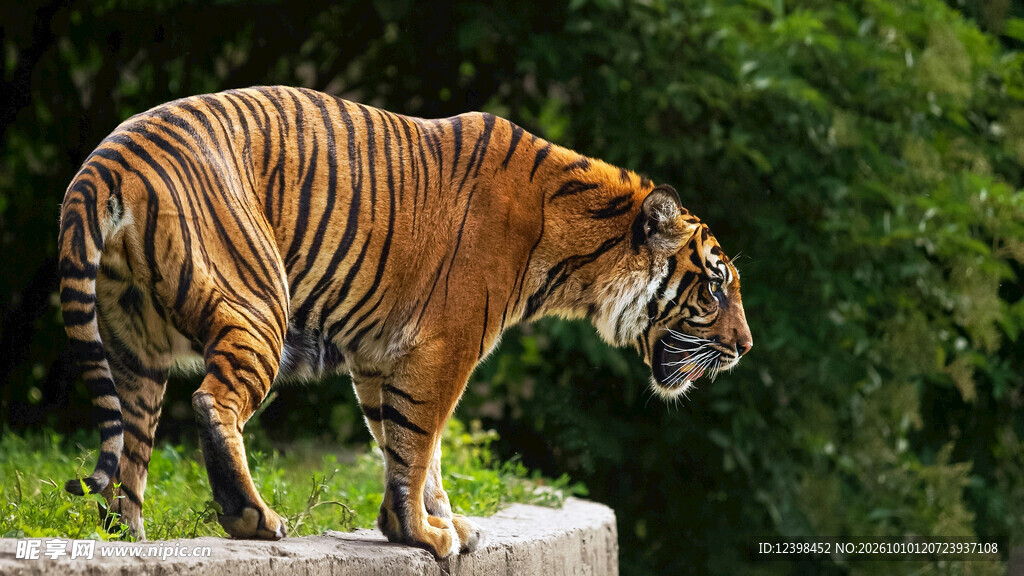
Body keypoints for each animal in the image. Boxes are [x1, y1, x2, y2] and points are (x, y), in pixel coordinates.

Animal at [57, 86, 752, 558]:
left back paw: (128, 534)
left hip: (134, 347)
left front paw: (440, 524)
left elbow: (411, 446)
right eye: (717, 285)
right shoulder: (444, 348)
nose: (745, 347)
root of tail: (108, 160)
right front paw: (420, 532)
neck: (575, 248)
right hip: (256, 301)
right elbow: (419, 443)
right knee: (211, 401)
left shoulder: (378, 355)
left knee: (132, 443)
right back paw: (253, 518)